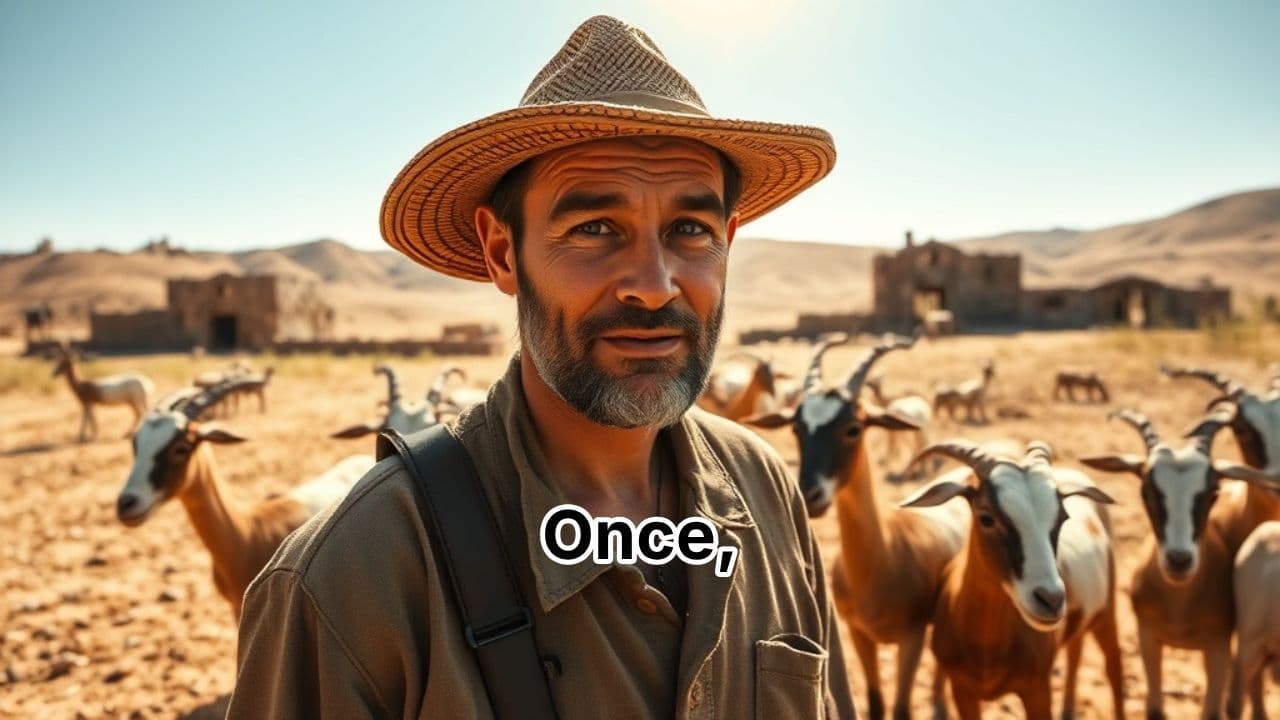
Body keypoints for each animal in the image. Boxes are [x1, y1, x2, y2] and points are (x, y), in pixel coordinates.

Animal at [743, 332, 967, 720]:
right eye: (798, 428)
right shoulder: (859, 635)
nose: (811, 494)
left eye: (853, 428)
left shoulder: (912, 638)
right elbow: (876, 704)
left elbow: (901, 708)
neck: (884, 556)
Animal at [902, 440, 1123, 719]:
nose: (1051, 600)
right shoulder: (963, 691)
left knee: (1113, 667)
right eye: (986, 517)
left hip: (1107, 614)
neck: (987, 649)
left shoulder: (1037, 690)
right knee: (1076, 650)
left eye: (1062, 517)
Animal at [1081, 409, 1280, 720]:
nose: (1179, 560)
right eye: (1147, 491)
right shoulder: (1148, 637)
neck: (1180, 604)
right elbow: (1154, 709)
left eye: (1212, 492)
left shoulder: (1218, 646)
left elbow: (1212, 712)